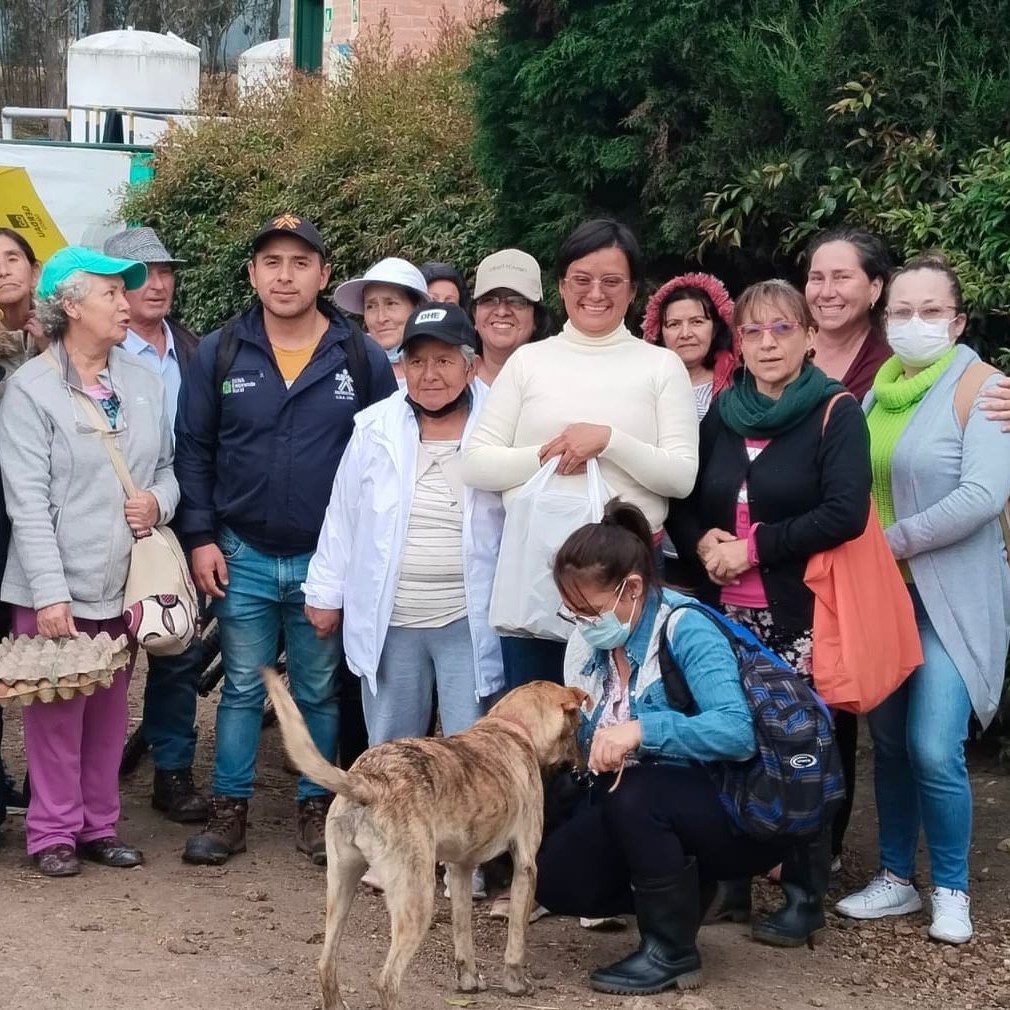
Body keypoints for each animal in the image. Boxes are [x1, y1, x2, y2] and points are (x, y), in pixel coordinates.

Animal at [262, 669, 590, 1010]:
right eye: (577, 729)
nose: (585, 772)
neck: (512, 728)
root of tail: (370, 780)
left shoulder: (460, 869)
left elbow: (462, 930)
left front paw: (468, 980)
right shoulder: (526, 866)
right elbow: (516, 938)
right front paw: (516, 983)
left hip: (340, 887)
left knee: (325, 963)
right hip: (416, 898)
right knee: (387, 980)